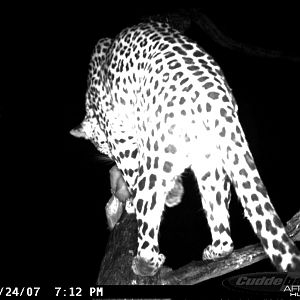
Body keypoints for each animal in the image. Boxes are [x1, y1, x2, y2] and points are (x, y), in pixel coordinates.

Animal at [71, 21, 300, 276]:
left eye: (101, 145)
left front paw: (131, 202)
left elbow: (131, 175)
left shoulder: (123, 142)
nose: (106, 152)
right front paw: (174, 193)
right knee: (224, 234)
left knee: (147, 212)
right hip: (211, 163)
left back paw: (146, 263)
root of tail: (215, 99)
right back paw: (214, 251)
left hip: (159, 159)